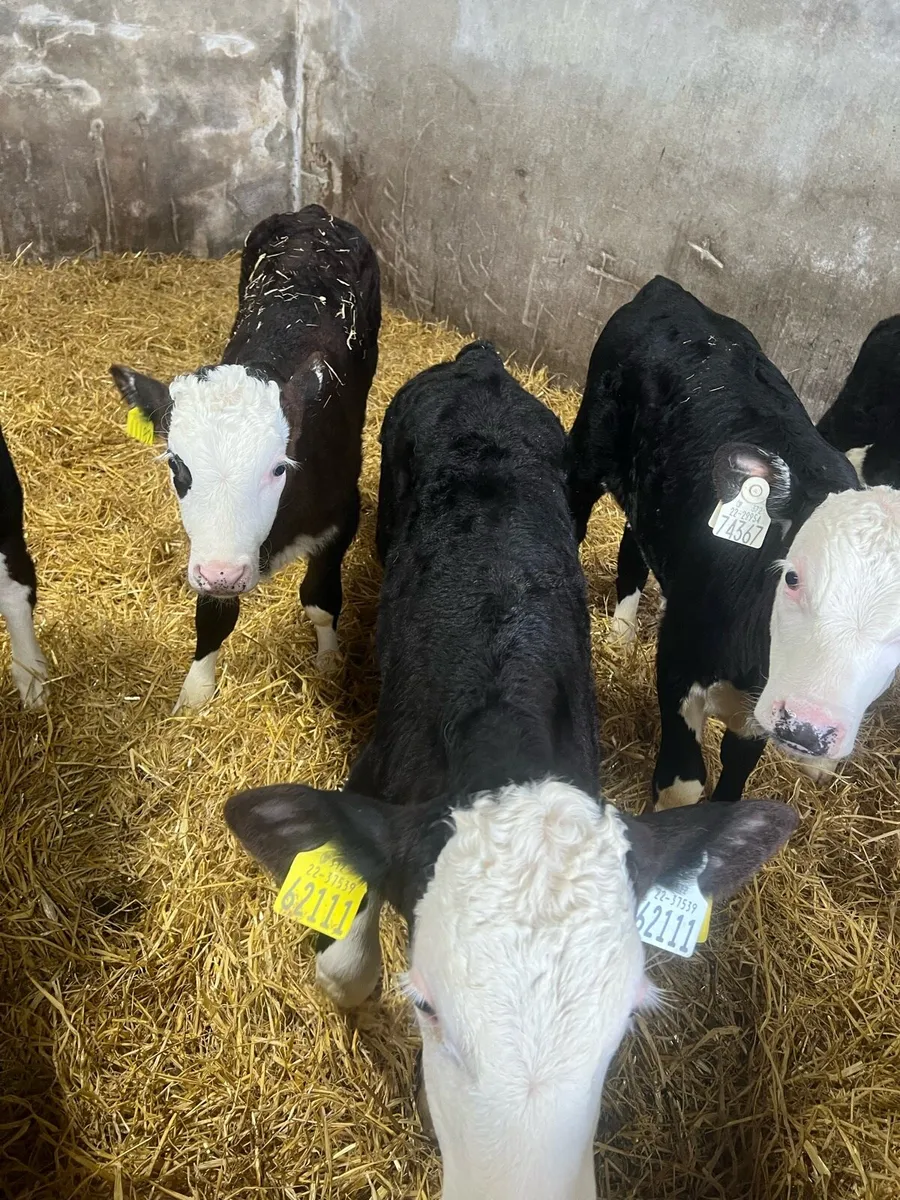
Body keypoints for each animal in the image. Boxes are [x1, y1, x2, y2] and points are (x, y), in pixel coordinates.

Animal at [110, 205, 381, 712]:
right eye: (176, 466)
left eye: (278, 467)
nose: (223, 573)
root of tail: (313, 214)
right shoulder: (213, 553)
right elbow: (212, 617)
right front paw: (194, 695)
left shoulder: (342, 515)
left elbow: (320, 600)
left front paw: (329, 661)